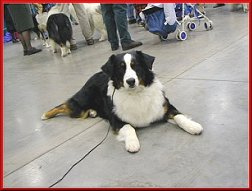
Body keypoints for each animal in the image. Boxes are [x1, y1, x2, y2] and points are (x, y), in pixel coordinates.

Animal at [41, 50, 203, 152]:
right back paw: (46, 114)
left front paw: (193, 126)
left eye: (136, 66)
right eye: (121, 68)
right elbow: (129, 127)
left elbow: (179, 116)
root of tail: (93, 75)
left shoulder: (164, 107)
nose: (130, 81)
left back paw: (92, 112)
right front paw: (133, 143)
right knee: (65, 104)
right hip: (80, 105)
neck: (136, 94)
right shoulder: (116, 120)